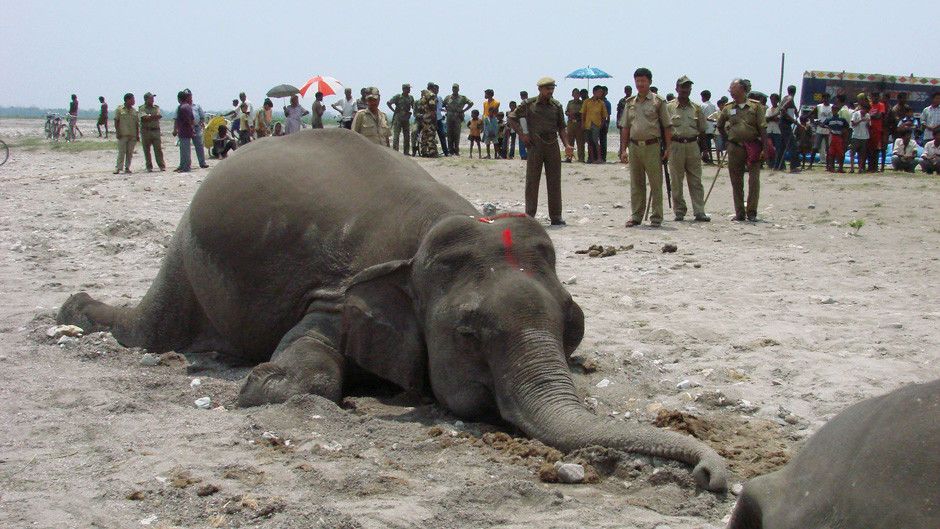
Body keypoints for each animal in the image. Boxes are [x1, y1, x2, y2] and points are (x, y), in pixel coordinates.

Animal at [58, 128, 732, 490]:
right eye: (469, 333)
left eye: (572, 325)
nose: (713, 475)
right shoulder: (337, 291)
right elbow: (304, 367)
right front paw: (266, 385)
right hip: (186, 257)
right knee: (152, 329)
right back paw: (75, 309)